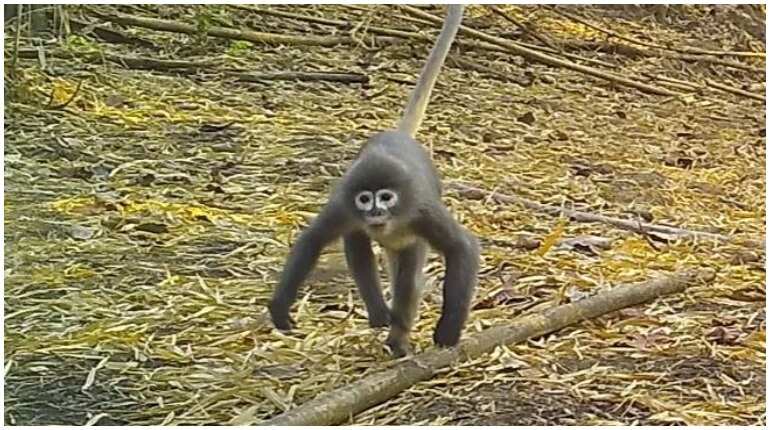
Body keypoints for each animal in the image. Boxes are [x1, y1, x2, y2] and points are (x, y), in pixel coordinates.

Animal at [268, 5, 479, 357]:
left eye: (386, 197)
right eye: (365, 199)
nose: (375, 212)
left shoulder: (420, 210)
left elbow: (461, 247)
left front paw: (448, 330)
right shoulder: (344, 205)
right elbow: (313, 240)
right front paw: (281, 306)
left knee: (407, 281)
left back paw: (398, 337)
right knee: (357, 246)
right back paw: (381, 315)